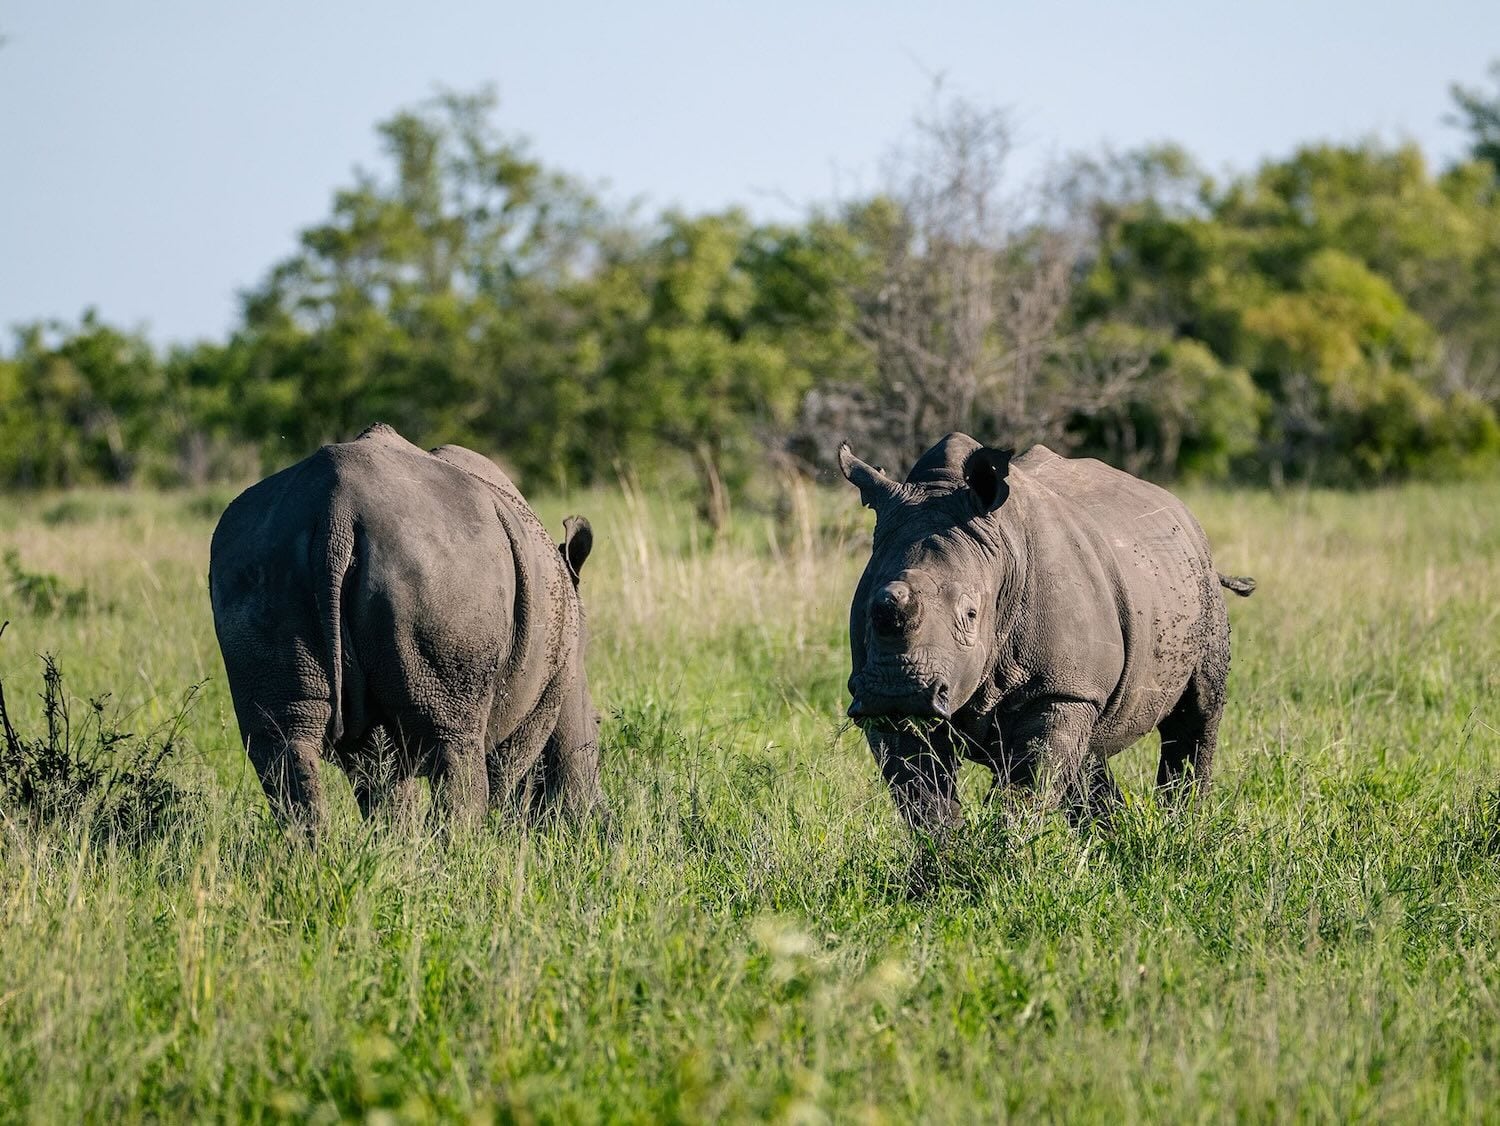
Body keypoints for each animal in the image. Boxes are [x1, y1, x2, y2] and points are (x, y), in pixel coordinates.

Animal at [209, 423, 603, 833]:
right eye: (599, 721)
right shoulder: (551, 690)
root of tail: (337, 511)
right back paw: (459, 845)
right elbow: (514, 768)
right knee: (454, 740)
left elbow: (382, 779)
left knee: (281, 741)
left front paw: (393, 840)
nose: (601, 820)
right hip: (445, 569)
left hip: (259, 559)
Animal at [839, 433, 1254, 829]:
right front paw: (946, 852)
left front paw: (1006, 848)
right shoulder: (892, 709)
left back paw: (1182, 825)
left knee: (1198, 711)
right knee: (1087, 753)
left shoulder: (1063, 688)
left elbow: (1027, 786)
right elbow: (922, 797)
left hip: (1197, 582)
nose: (897, 690)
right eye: (868, 613)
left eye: (971, 614)